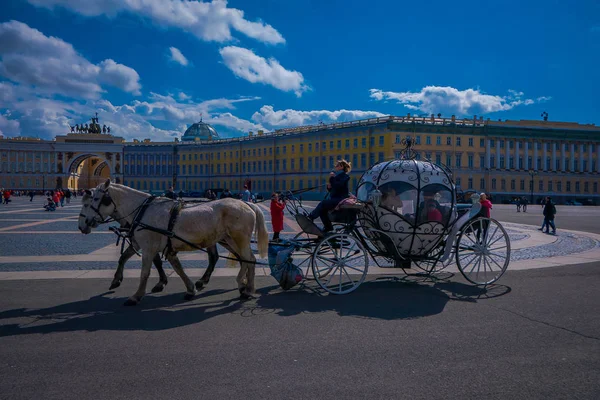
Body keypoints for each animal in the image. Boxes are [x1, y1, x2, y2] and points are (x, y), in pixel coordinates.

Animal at [78, 180, 268, 304]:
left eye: (94, 200)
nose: (81, 226)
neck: (142, 211)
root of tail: (248, 204)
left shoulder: (148, 247)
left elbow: (145, 272)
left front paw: (136, 295)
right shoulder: (151, 245)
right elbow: (175, 268)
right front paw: (190, 289)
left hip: (238, 239)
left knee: (247, 259)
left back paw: (246, 288)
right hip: (230, 239)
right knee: (245, 259)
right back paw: (243, 286)